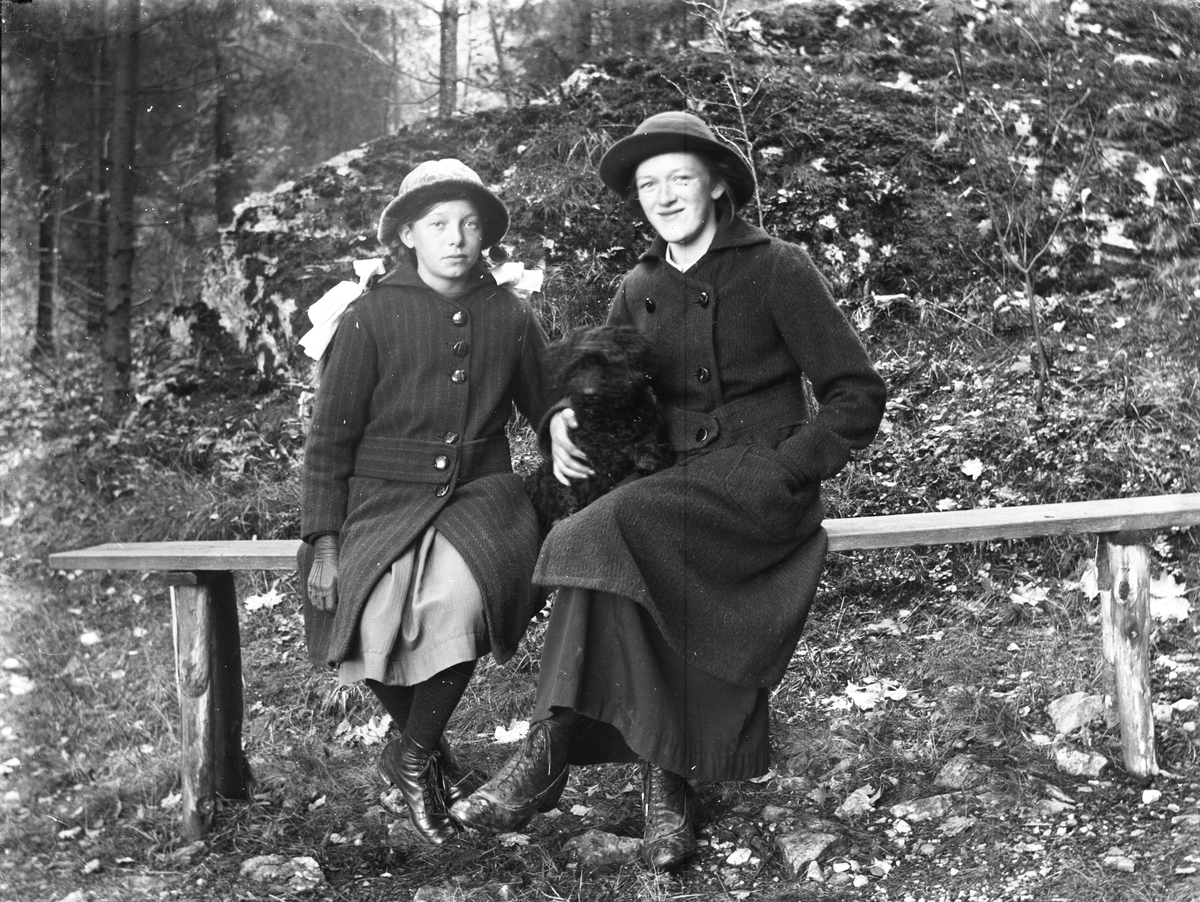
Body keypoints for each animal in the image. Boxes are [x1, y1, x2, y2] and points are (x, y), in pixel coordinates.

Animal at [525, 324, 675, 536]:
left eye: (608, 363)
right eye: (578, 365)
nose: (588, 394)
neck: (609, 421)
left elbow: (648, 443)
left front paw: (650, 457)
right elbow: (565, 490)